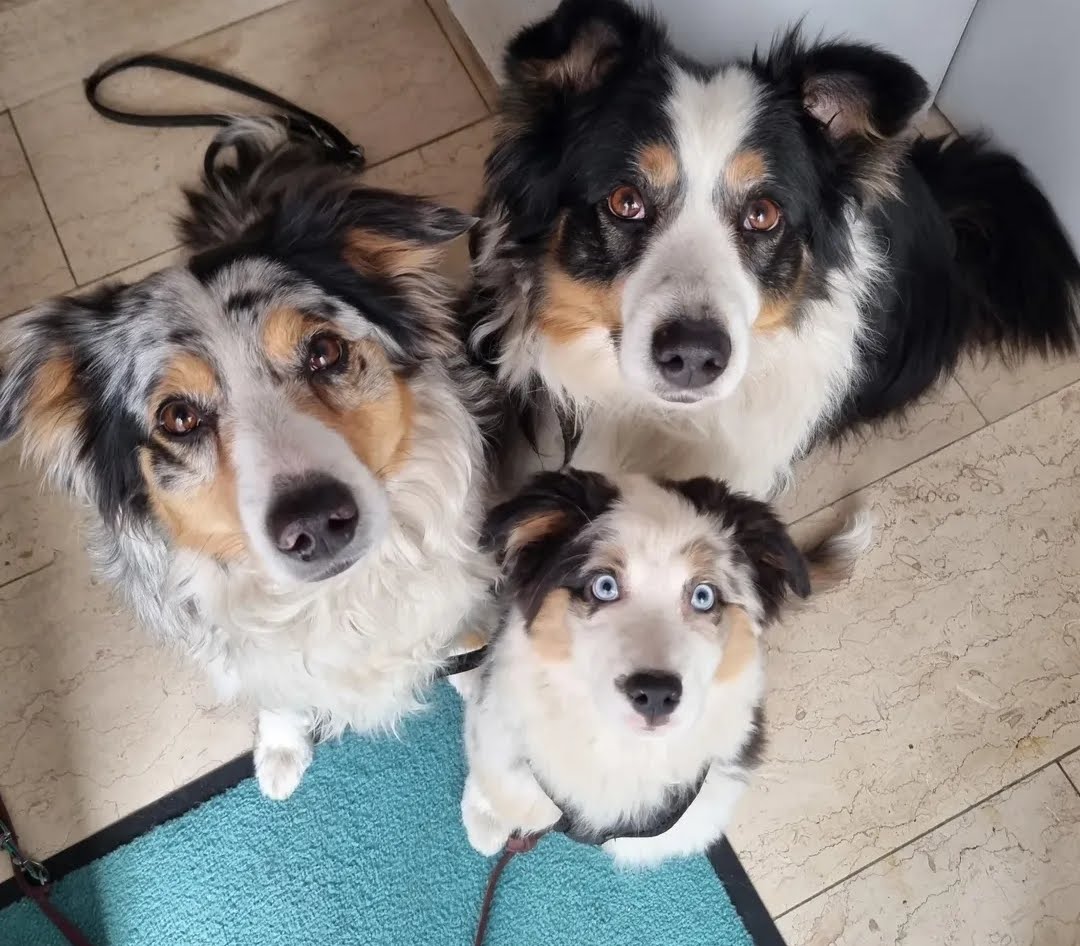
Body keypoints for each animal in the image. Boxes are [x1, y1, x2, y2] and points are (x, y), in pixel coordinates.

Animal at [0, 121, 496, 799]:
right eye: (178, 417)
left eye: (324, 351)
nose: (314, 523)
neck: (338, 600)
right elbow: (276, 691)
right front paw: (282, 748)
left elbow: (463, 635)